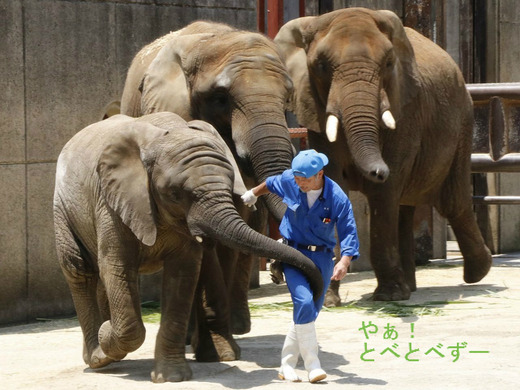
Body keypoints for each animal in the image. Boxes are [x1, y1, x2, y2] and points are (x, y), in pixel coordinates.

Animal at [52, 111, 320, 382]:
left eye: (230, 186)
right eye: (174, 194)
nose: (277, 272)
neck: (166, 134)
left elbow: (182, 275)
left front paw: (172, 377)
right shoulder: (112, 204)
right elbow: (117, 267)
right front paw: (106, 337)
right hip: (63, 207)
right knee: (80, 271)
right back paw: (98, 357)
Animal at [274, 6, 494, 302]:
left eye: (389, 63)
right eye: (320, 66)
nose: (377, 171)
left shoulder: (405, 112)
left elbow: (384, 192)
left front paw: (388, 297)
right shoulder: (315, 114)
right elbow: (332, 183)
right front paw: (328, 299)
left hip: (463, 123)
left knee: (452, 201)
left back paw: (477, 273)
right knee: (405, 207)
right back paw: (410, 287)